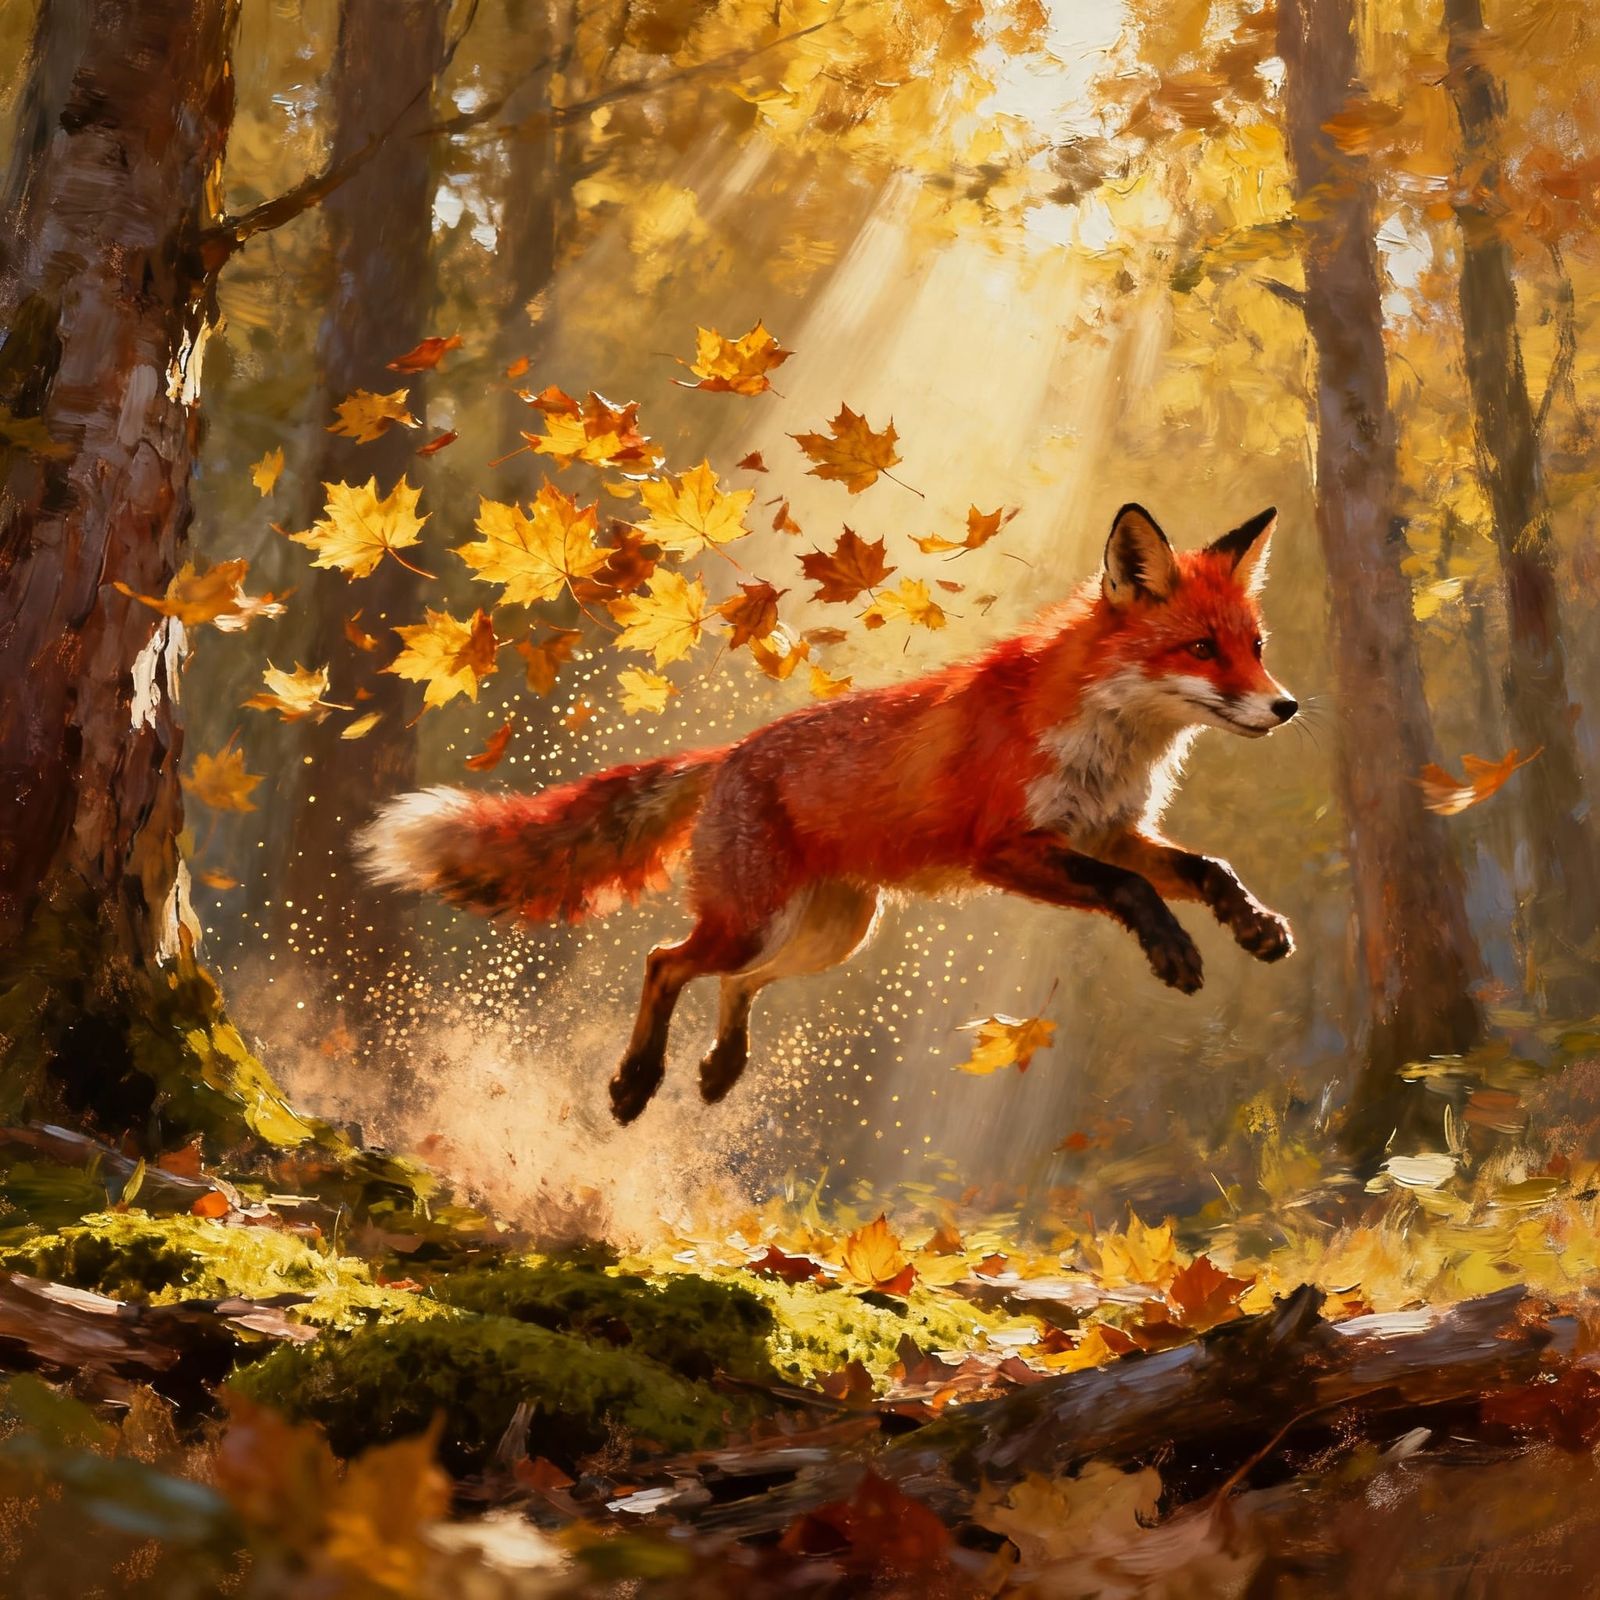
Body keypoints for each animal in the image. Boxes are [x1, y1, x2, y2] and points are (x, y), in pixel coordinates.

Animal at [358, 503, 1297, 1124]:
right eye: (1200, 649)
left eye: (1255, 647)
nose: (1286, 707)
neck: (1107, 735)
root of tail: (730, 753)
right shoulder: (1006, 847)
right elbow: (1130, 894)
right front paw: (1175, 952)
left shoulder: (1109, 830)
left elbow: (1205, 869)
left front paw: (1254, 925)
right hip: (755, 922)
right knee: (666, 962)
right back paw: (635, 1083)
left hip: (833, 933)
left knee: (734, 984)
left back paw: (719, 1070)